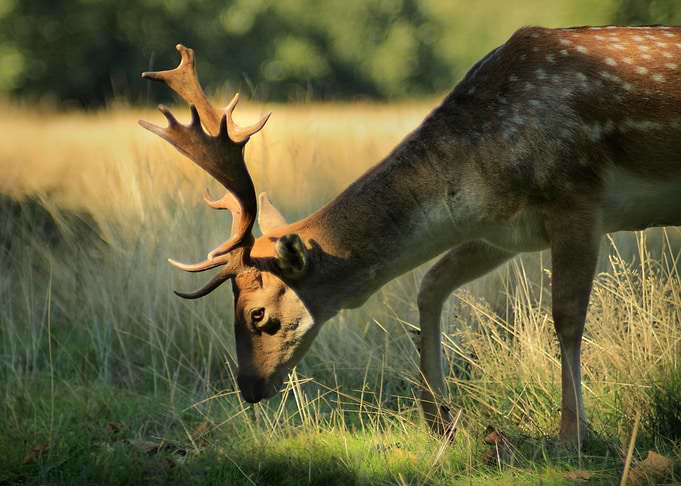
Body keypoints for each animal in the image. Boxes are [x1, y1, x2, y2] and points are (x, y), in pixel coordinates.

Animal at [139, 25, 681, 449]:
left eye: (258, 314)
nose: (249, 388)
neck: (482, 166)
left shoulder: (578, 199)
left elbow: (566, 318)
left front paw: (572, 434)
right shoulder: (502, 231)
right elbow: (430, 286)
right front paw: (439, 420)